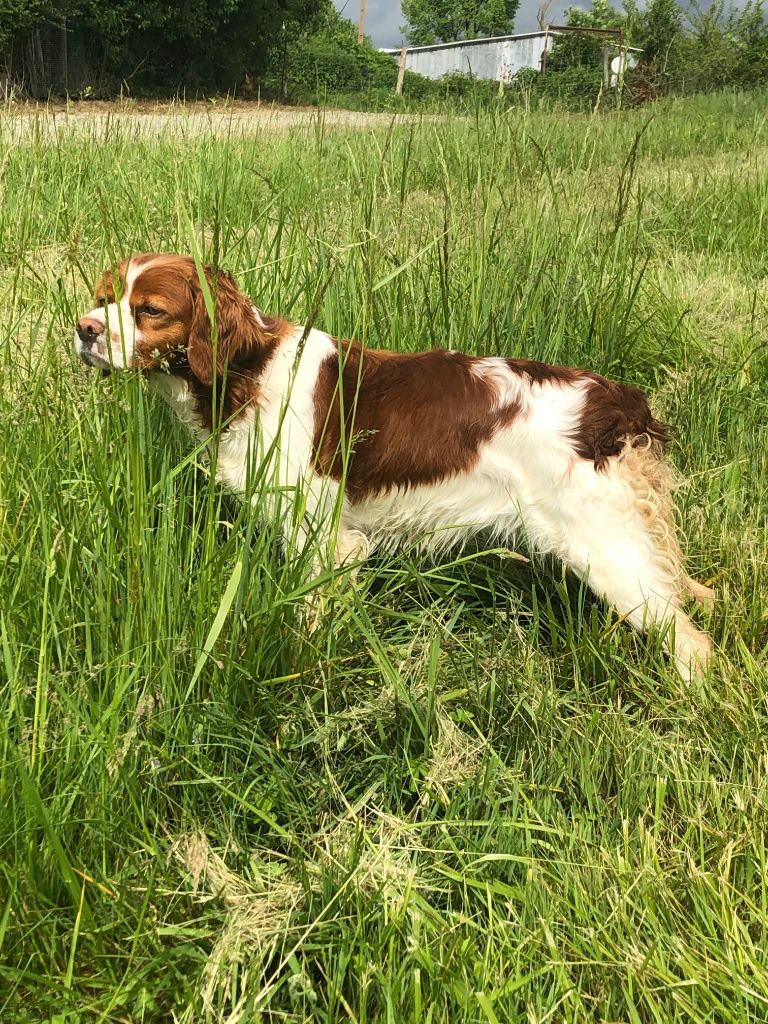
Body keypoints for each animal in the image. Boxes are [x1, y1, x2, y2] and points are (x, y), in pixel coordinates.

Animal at [76, 251, 716, 675]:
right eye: (105, 297)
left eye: (150, 310)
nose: (83, 329)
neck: (247, 375)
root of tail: (617, 405)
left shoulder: (324, 539)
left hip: (603, 548)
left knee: (693, 643)